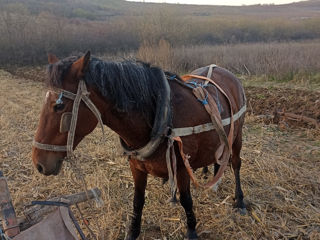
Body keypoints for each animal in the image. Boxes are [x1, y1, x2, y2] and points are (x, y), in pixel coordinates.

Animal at [32, 51, 246, 239]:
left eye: (59, 106)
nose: (39, 163)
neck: (161, 113)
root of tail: (221, 69)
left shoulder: (181, 167)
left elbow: (186, 200)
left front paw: (192, 231)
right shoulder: (136, 166)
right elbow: (138, 201)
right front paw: (133, 231)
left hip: (237, 135)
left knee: (235, 163)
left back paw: (240, 201)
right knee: (219, 155)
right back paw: (213, 178)